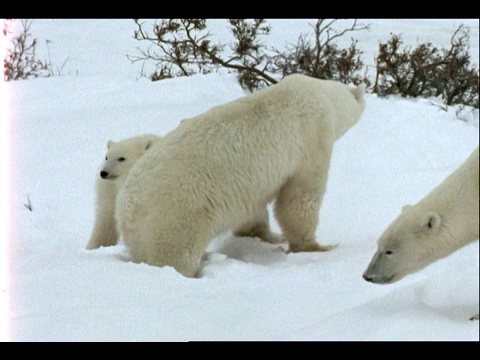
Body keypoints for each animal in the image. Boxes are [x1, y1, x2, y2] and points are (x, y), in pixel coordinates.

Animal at [115, 74, 364, 278]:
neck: (322, 94)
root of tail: (126, 207)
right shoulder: (312, 138)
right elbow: (299, 198)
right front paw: (318, 247)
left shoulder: (250, 185)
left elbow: (253, 209)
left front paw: (265, 237)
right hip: (174, 215)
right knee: (174, 255)